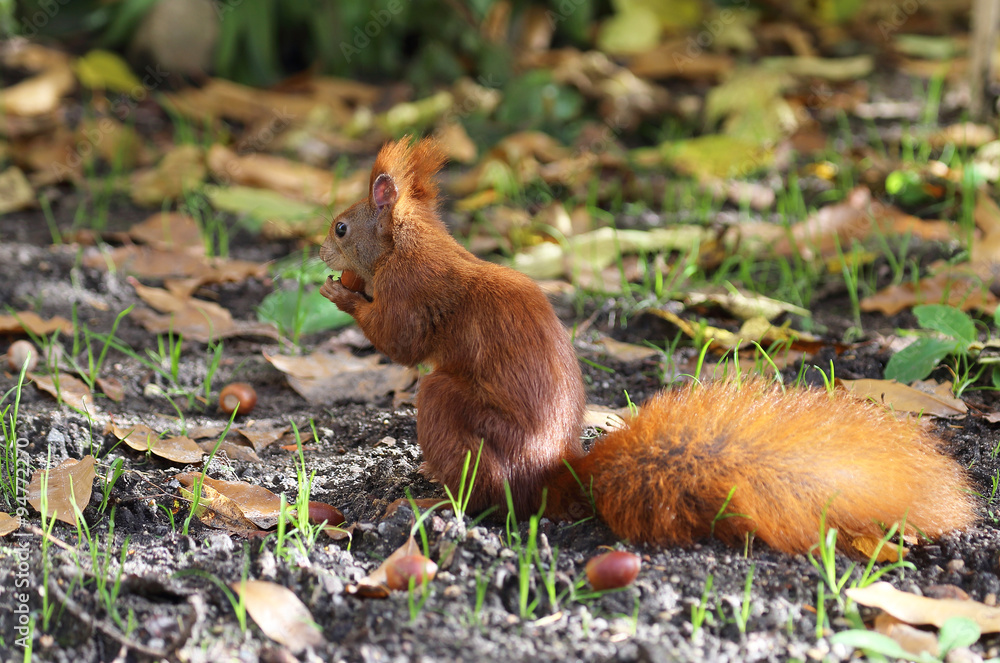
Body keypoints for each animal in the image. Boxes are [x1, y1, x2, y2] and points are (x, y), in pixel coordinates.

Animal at [322, 136, 976, 556]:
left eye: (340, 226)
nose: (322, 252)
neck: (410, 242)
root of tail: (555, 474)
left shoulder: (413, 289)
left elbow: (402, 340)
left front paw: (342, 294)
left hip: (455, 412)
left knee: (469, 456)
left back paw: (439, 504)